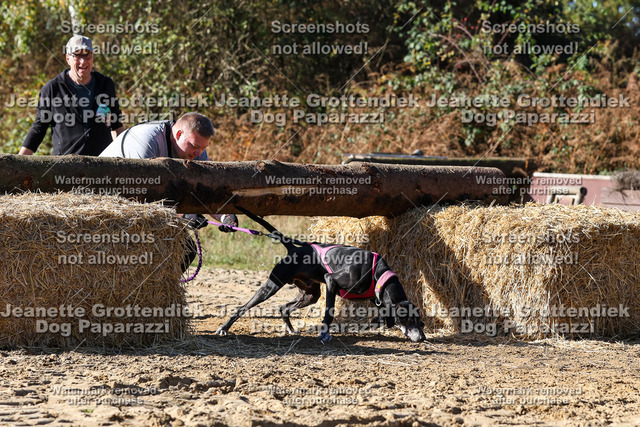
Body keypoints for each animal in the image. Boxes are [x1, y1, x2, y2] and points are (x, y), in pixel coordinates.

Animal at [215, 207, 426, 343]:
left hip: (310, 294)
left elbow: (379, 318)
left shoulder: (378, 301)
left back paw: (291, 330)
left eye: (420, 321)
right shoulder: (331, 281)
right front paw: (325, 334)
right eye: (409, 319)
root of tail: (295, 248)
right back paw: (224, 328)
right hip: (272, 285)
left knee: (284, 308)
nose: (423, 337)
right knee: (243, 307)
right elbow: (329, 312)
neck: (377, 274)